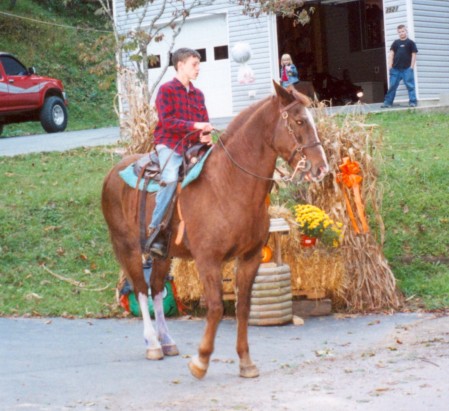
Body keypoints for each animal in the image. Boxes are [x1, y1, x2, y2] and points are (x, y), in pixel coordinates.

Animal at [101, 82, 328, 382]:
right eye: (300, 121)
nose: (321, 167)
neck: (228, 184)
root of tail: (112, 173)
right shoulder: (208, 259)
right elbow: (217, 307)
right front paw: (201, 361)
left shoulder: (250, 257)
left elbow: (243, 307)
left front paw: (245, 361)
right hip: (127, 247)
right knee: (140, 289)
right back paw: (152, 344)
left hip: (163, 255)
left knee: (157, 289)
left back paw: (167, 341)